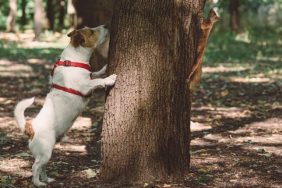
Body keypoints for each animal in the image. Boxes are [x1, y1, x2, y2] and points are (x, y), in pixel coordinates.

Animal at [14, 25, 115, 187]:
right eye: (92, 31)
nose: (106, 25)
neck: (73, 61)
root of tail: (30, 128)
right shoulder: (85, 86)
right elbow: (97, 81)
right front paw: (110, 78)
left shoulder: (89, 78)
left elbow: (95, 74)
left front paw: (104, 69)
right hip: (45, 151)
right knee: (35, 166)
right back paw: (38, 183)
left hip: (47, 152)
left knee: (42, 166)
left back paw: (46, 179)